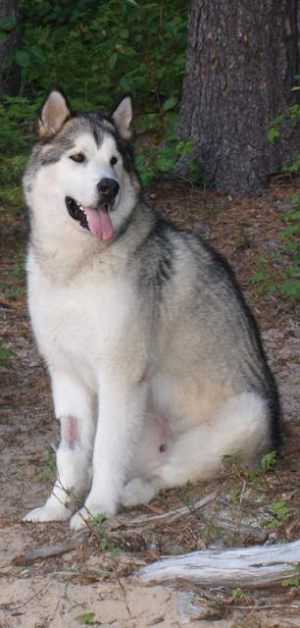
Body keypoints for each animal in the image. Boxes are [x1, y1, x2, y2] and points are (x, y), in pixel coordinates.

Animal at [23, 89, 282, 528]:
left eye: (114, 161)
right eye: (78, 157)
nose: (108, 188)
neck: (75, 266)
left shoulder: (121, 375)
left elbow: (106, 452)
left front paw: (95, 511)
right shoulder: (66, 375)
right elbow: (71, 453)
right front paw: (57, 506)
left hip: (247, 414)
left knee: (170, 472)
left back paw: (133, 492)